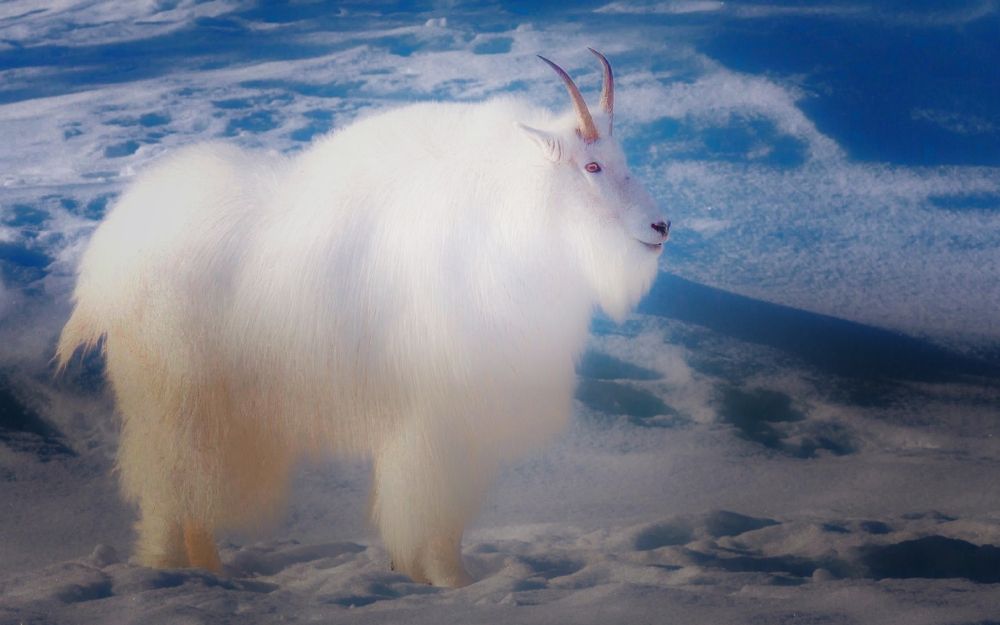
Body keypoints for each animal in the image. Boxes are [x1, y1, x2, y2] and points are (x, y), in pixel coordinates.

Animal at [56, 50, 670, 587]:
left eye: (622, 161)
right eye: (592, 165)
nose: (661, 226)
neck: (511, 220)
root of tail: (105, 262)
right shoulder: (435, 422)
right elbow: (429, 512)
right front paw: (452, 584)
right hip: (177, 404)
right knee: (168, 492)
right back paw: (177, 574)